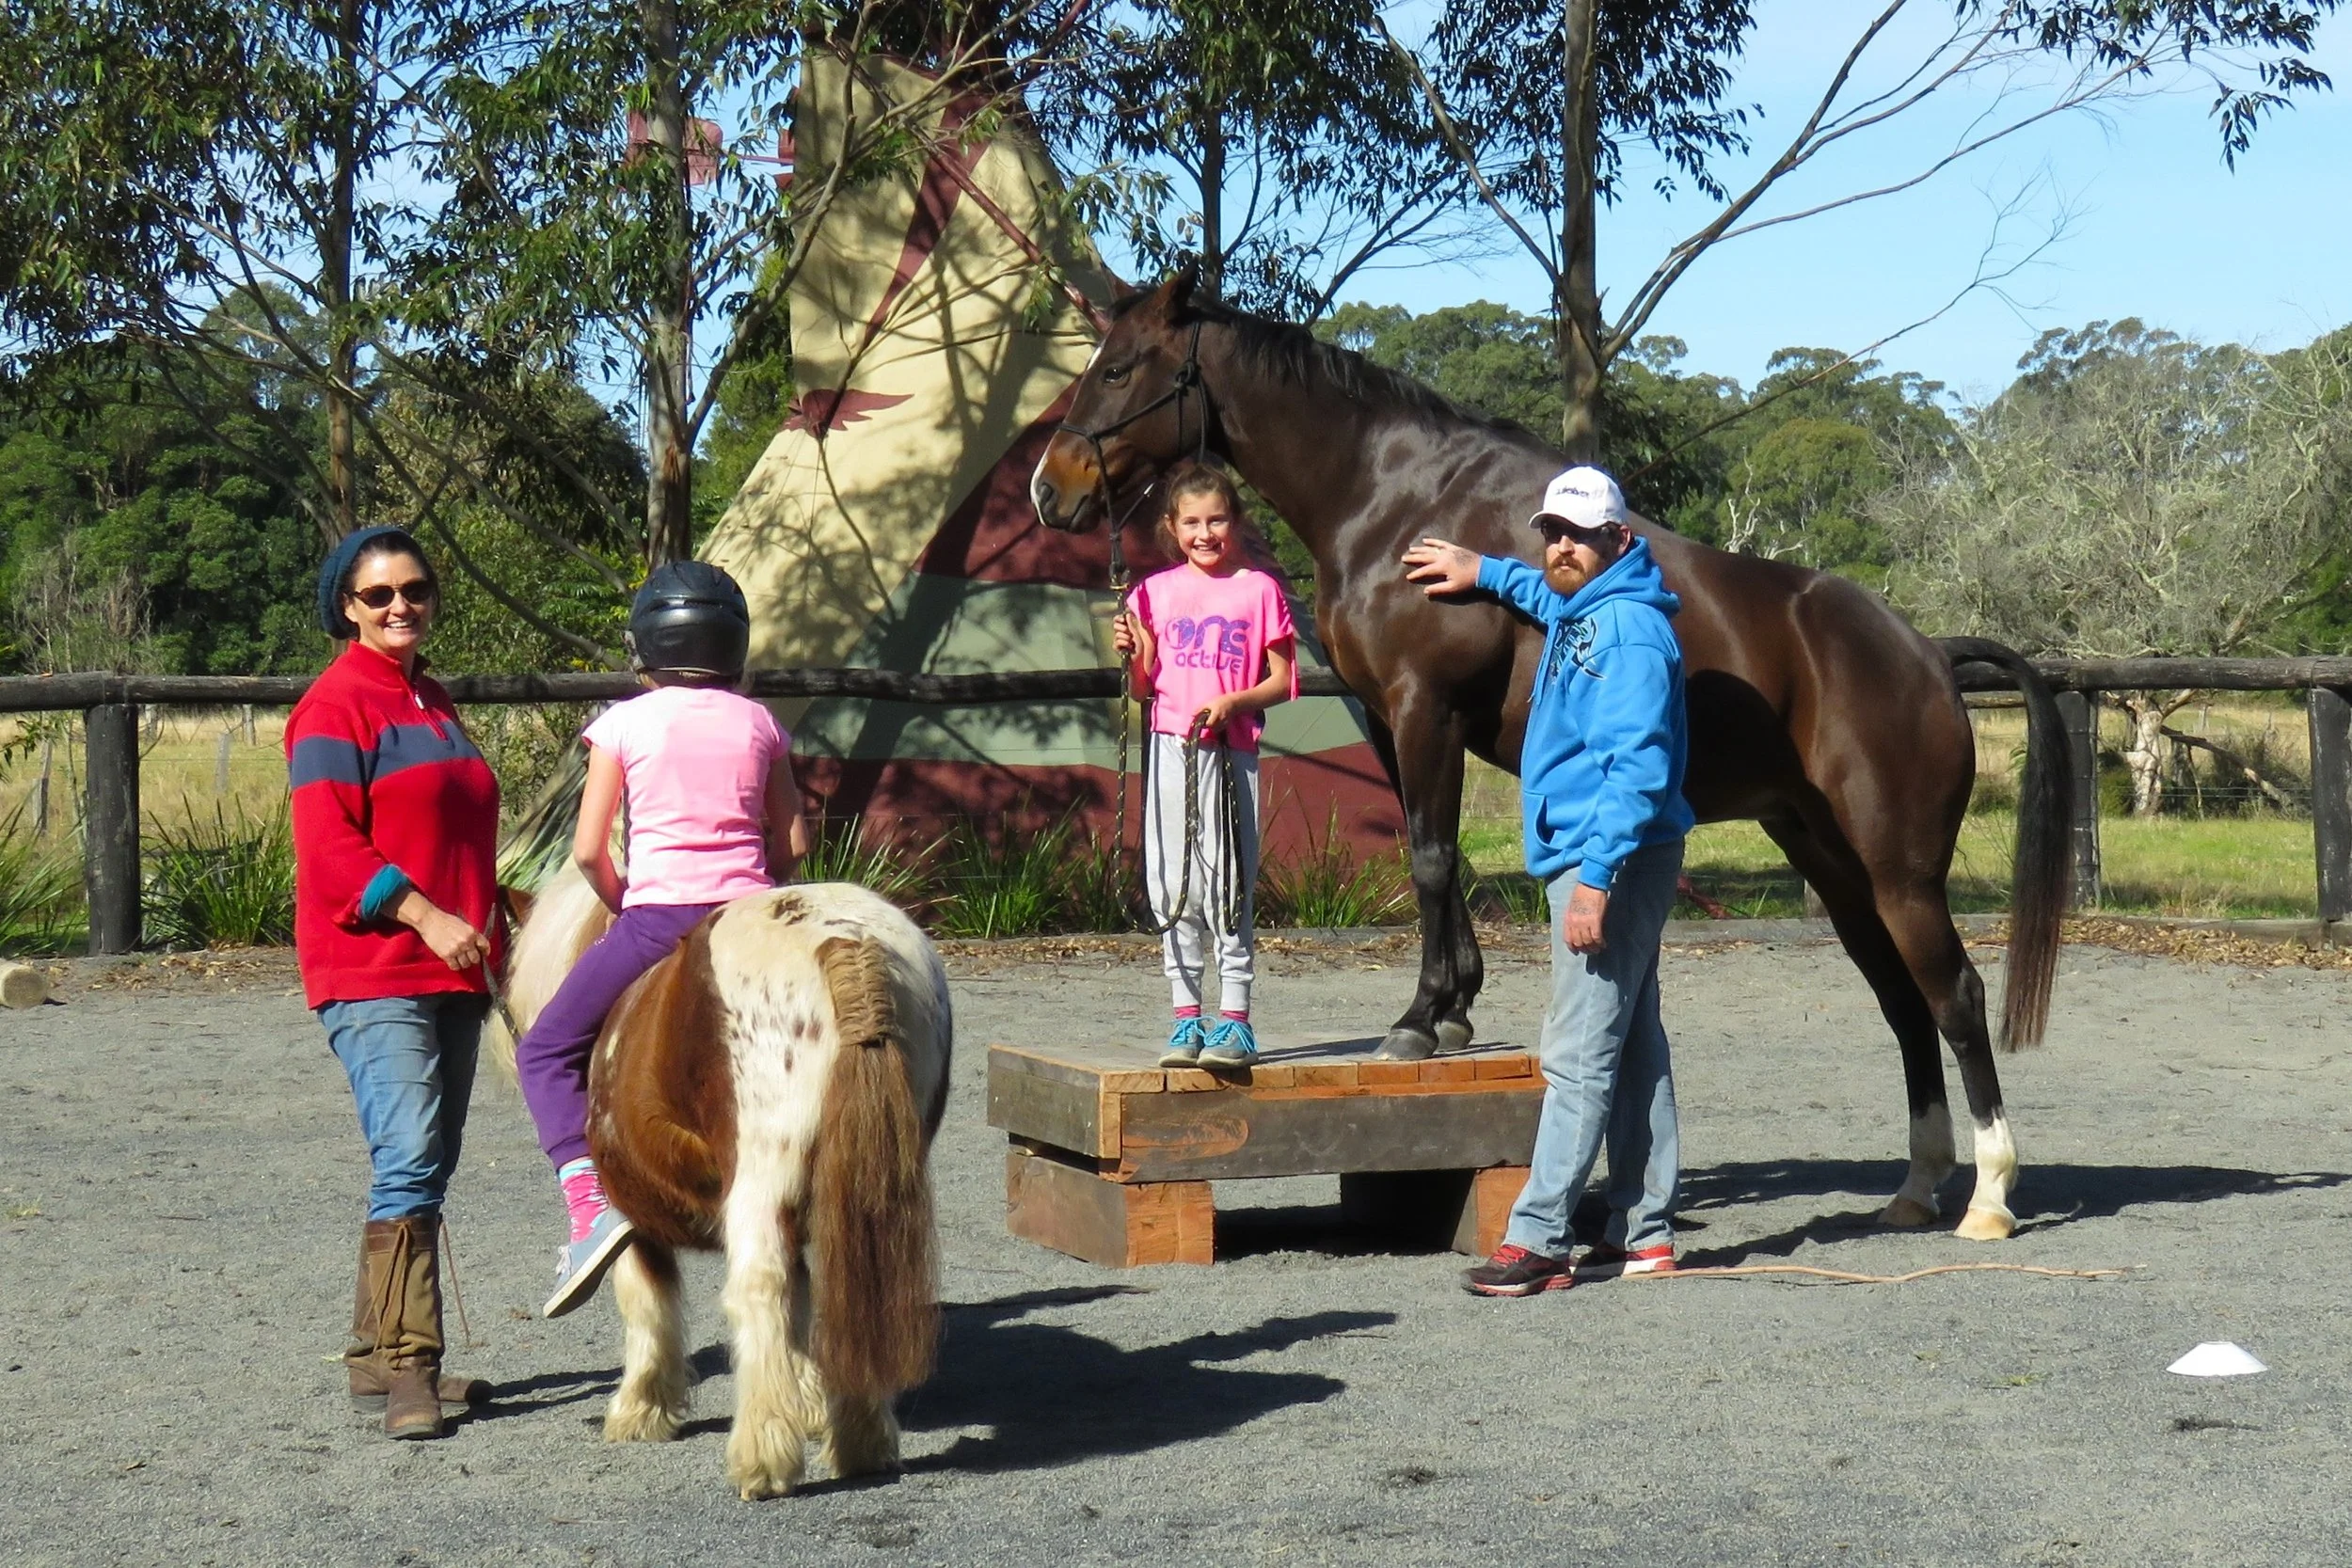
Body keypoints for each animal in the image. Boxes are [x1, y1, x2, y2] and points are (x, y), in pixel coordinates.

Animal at [498, 870, 953, 1498]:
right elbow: (802, 1303)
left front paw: (642, 1410)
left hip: (761, 1181)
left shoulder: (631, 1215)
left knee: (759, 1287)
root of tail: (841, 939)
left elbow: (646, 1299)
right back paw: (861, 1442)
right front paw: (808, 1401)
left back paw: (763, 1458)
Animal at [1030, 265, 2069, 1243]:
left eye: (1118, 369)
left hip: (1900, 872)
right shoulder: (1390, 720)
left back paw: (1988, 1195)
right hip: (1835, 866)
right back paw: (1916, 1188)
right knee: (1904, 1004)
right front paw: (1455, 1006)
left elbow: (1429, 857)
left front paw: (1419, 1021)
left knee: (1956, 996)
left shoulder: (1425, 709)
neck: (1392, 497)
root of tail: (1926, 652)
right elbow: (1437, 859)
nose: (1051, 487)